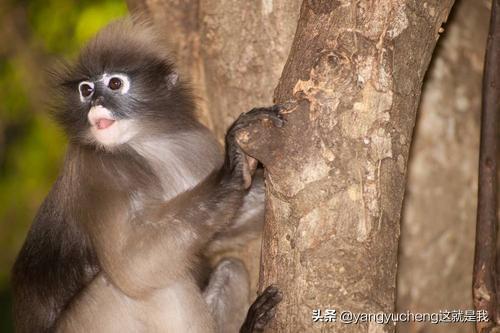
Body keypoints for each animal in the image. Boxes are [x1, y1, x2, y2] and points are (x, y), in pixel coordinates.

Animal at [9, 16, 284, 330]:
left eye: (115, 83)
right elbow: (132, 266)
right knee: (149, 284)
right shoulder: (95, 166)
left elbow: (222, 231)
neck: (144, 143)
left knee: (231, 268)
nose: (95, 101)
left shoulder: (195, 143)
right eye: (86, 90)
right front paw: (234, 168)